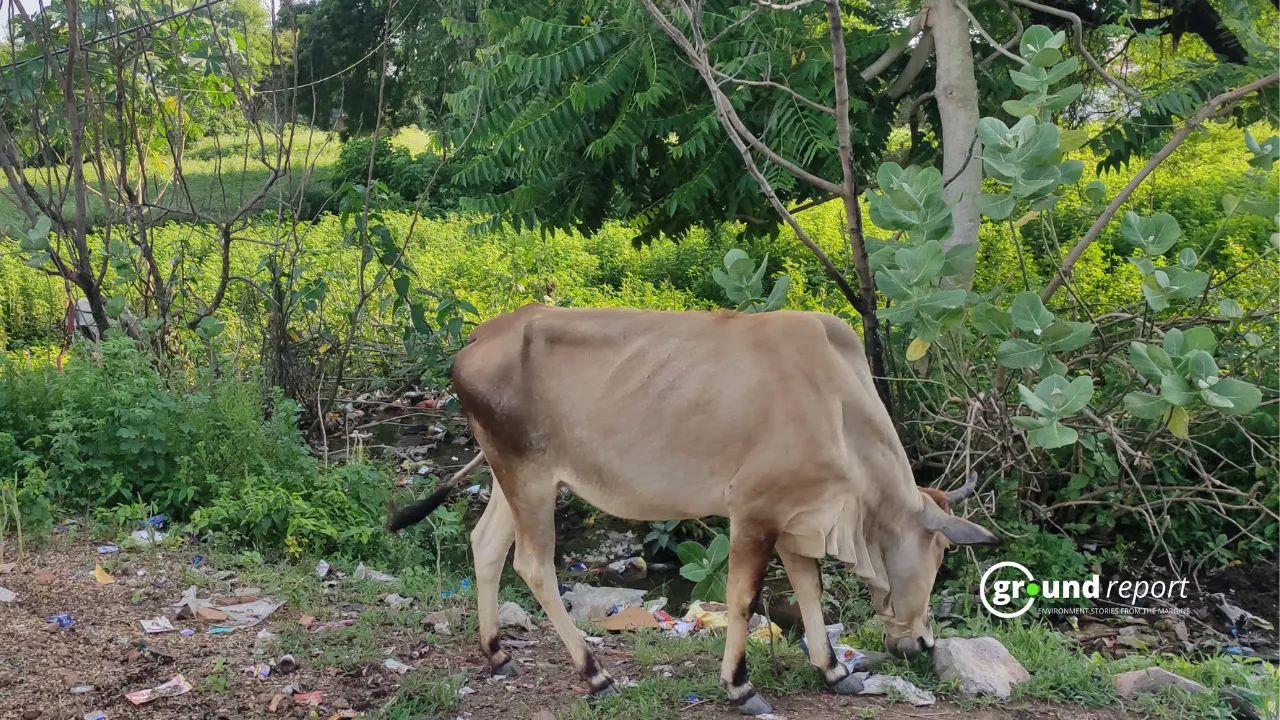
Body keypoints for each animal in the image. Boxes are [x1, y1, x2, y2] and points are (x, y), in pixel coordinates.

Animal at [389, 302, 998, 712]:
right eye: (936, 556)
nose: (922, 643)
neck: (839, 407)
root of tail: (478, 337)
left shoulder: (797, 517)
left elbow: (809, 590)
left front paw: (831, 670)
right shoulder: (756, 513)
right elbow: (744, 600)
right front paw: (739, 685)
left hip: (509, 476)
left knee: (486, 546)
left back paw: (497, 653)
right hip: (531, 477)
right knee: (534, 567)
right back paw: (595, 675)